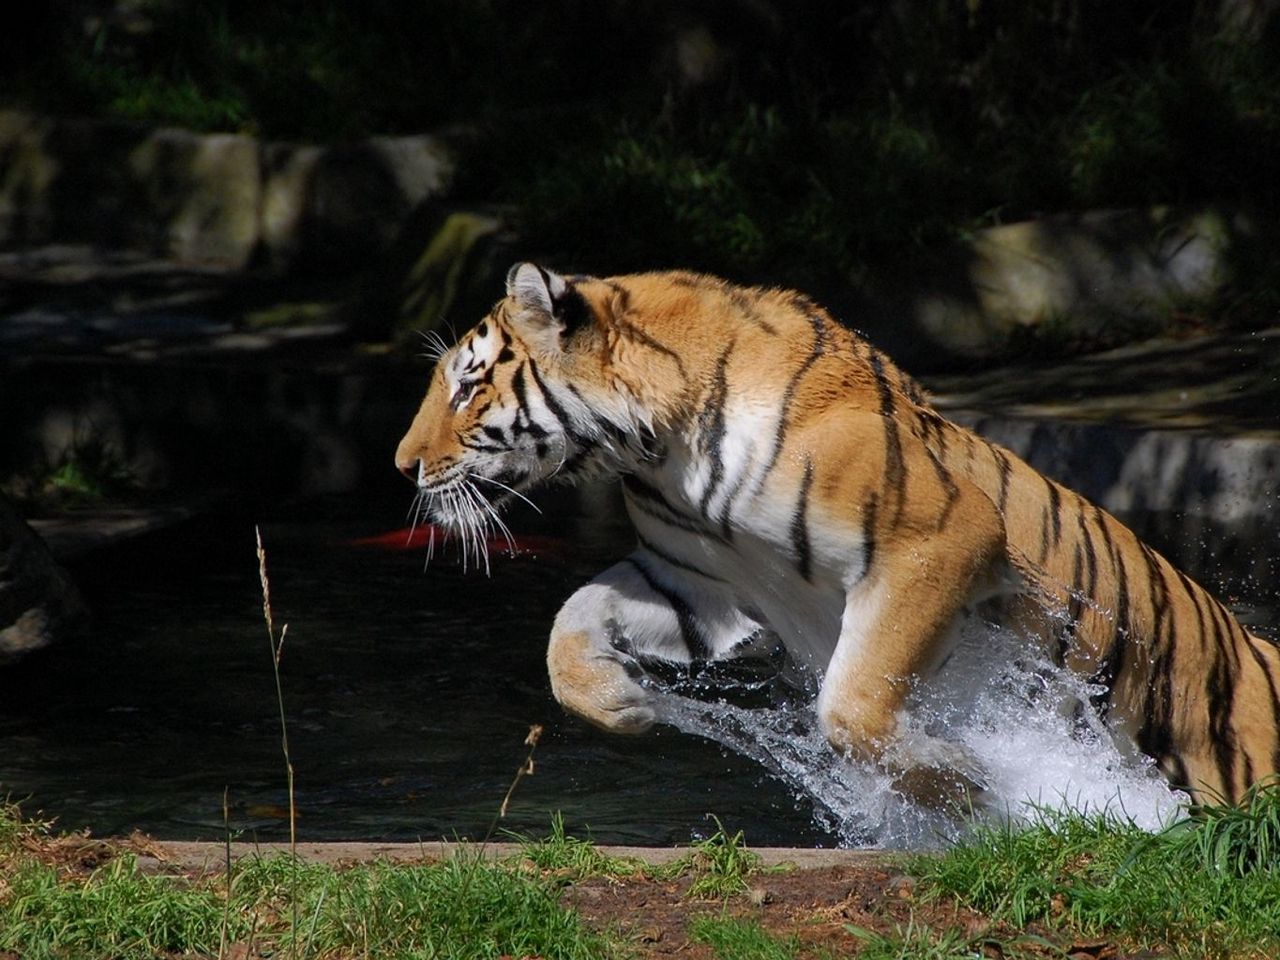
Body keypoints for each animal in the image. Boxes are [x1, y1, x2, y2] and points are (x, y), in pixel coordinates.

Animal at [391, 259, 1280, 808]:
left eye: (468, 386)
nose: (403, 466)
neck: (657, 448)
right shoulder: (699, 580)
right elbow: (567, 628)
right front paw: (622, 703)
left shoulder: (937, 543)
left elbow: (851, 705)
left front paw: (964, 790)